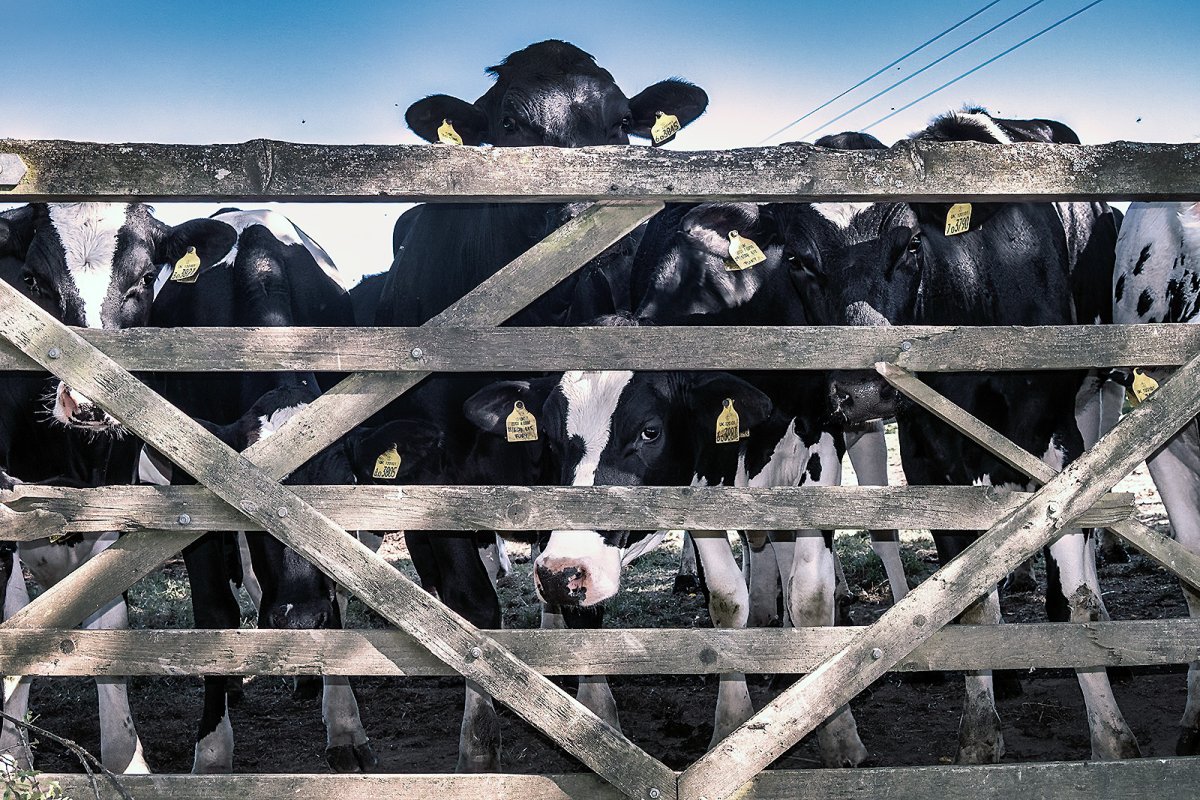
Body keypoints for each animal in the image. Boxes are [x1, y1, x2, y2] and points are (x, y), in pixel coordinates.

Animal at [371, 39, 708, 772]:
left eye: (622, 124)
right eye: (511, 127)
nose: (594, 228)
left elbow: (585, 600)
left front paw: (598, 724)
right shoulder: (431, 471)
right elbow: (472, 609)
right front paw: (478, 748)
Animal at [783, 110, 1134, 763]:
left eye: (911, 245)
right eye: (797, 261)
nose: (862, 392)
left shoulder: (1053, 433)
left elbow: (1073, 572)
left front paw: (1110, 732)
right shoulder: (927, 456)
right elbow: (968, 598)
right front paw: (980, 727)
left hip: (1098, 391)